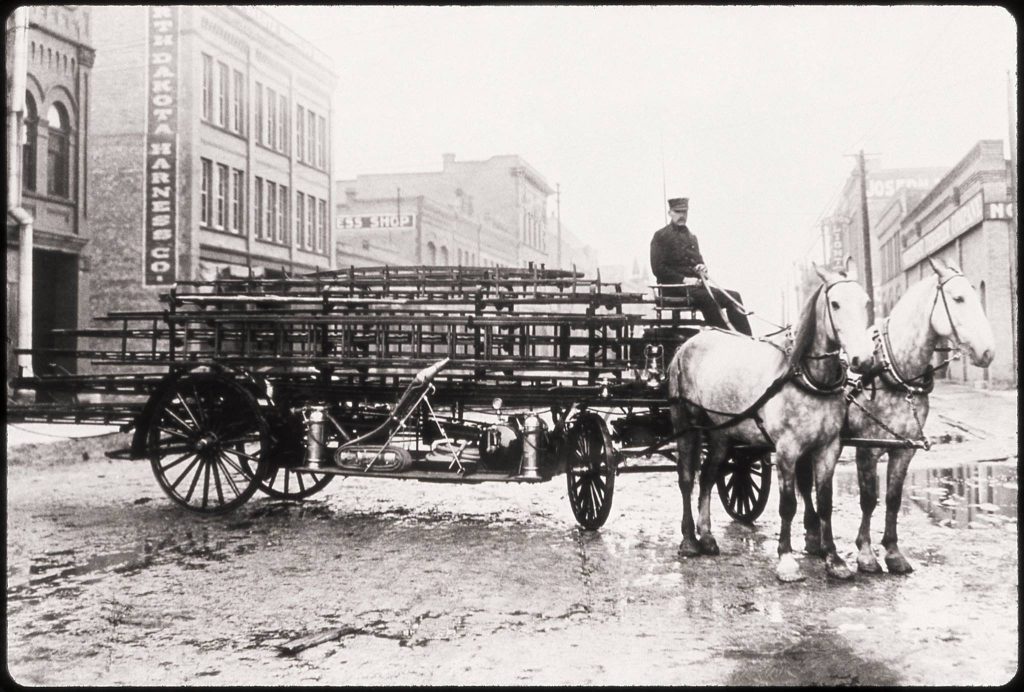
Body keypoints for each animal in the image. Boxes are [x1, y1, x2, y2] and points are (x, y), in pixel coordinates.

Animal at [667, 262, 876, 581]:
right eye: (836, 304)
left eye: (866, 302)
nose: (863, 359)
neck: (806, 376)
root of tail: (686, 344)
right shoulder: (787, 450)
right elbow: (788, 504)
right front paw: (786, 560)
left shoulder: (828, 448)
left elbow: (825, 502)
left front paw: (834, 559)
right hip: (685, 424)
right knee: (687, 478)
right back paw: (689, 540)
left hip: (720, 433)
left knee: (708, 476)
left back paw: (707, 537)